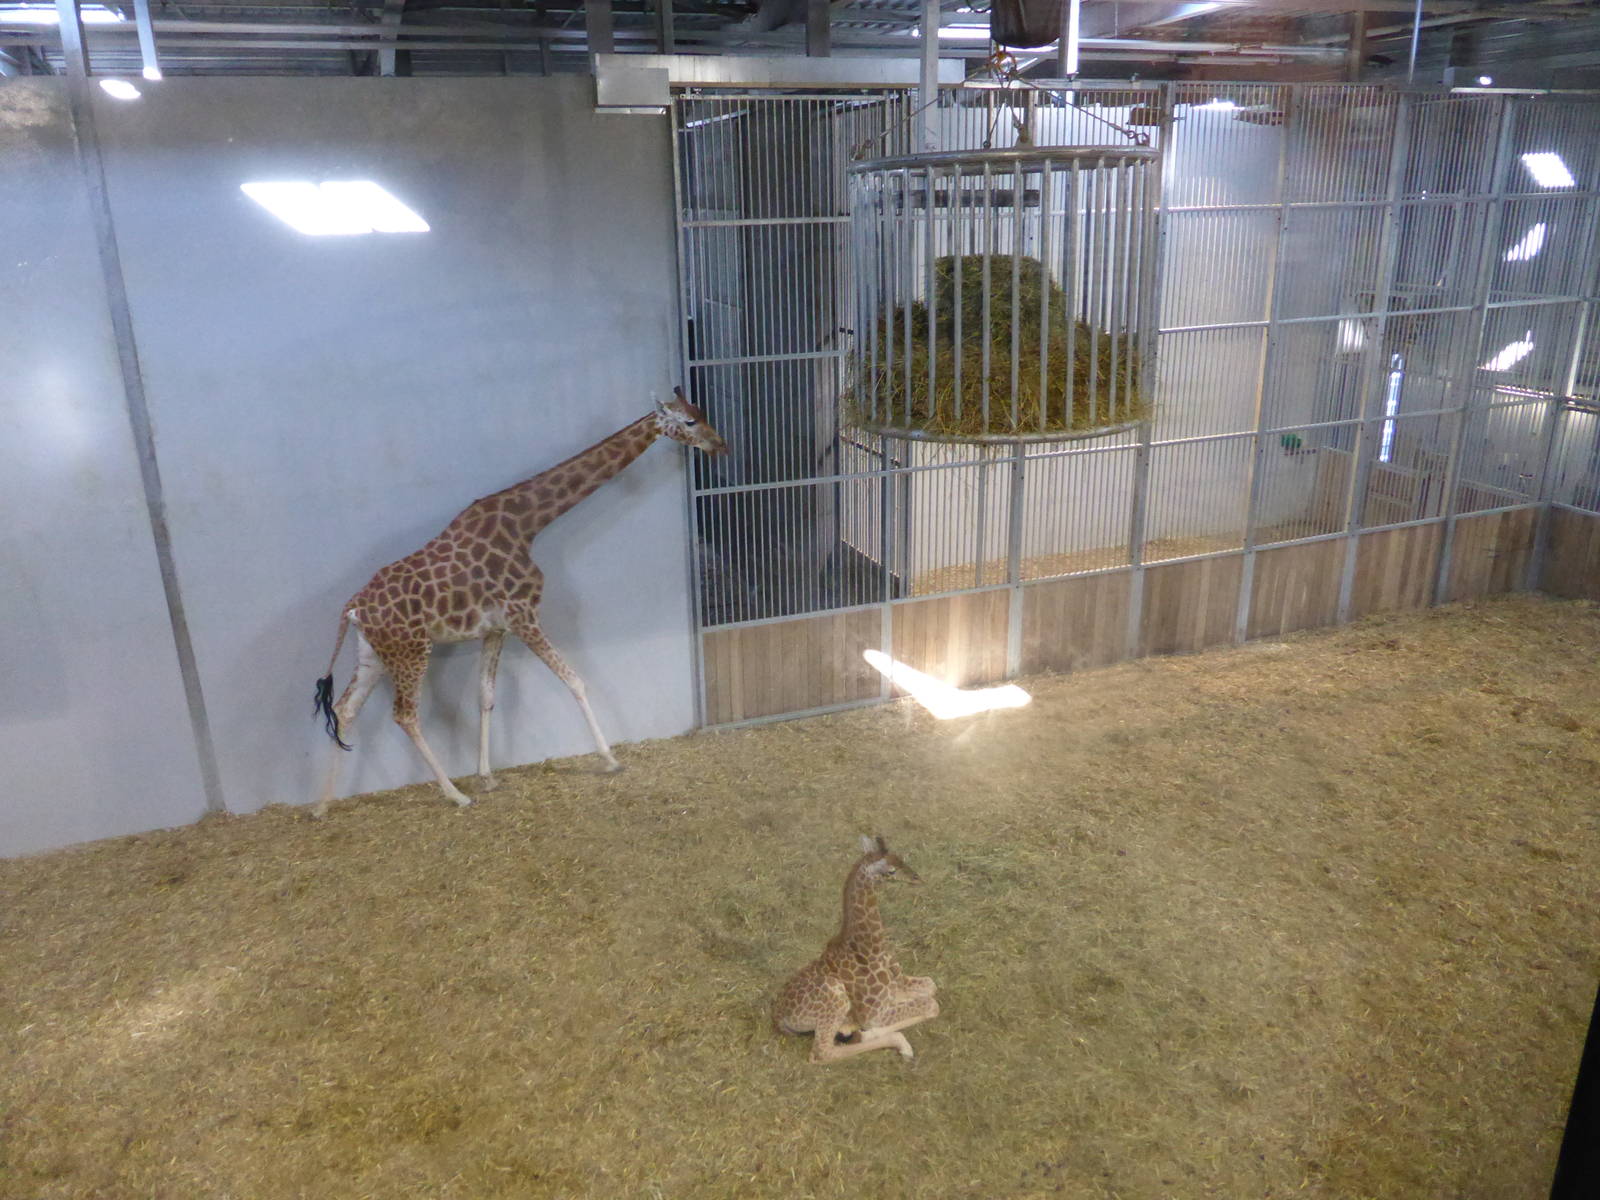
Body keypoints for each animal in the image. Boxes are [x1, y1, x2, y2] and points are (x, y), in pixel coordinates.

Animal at [310, 387, 727, 817]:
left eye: (701, 411)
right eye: (690, 421)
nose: (720, 445)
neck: (526, 524)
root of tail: (353, 608)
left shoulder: (496, 629)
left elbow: (486, 696)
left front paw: (487, 775)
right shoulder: (525, 616)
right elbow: (575, 680)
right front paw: (610, 758)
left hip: (374, 654)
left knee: (345, 708)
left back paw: (323, 805)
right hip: (411, 651)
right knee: (405, 715)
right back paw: (455, 794)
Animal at [773, 835, 940, 1064]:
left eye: (900, 858)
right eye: (891, 871)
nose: (917, 878)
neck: (872, 948)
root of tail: (779, 1016)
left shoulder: (897, 984)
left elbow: (931, 987)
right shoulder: (874, 1013)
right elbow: (931, 1004)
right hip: (835, 999)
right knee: (822, 1053)